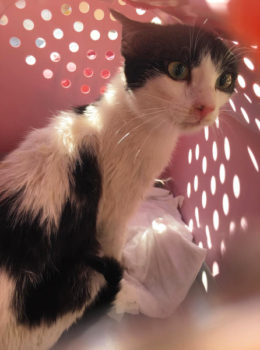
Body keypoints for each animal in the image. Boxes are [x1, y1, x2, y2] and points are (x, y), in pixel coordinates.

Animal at [0, 8, 237, 350]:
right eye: (177, 69)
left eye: (225, 80)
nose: (205, 107)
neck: (137, 124)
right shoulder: (112, 214)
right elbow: (114, 242)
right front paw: (126, 271)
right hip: (81, 280)